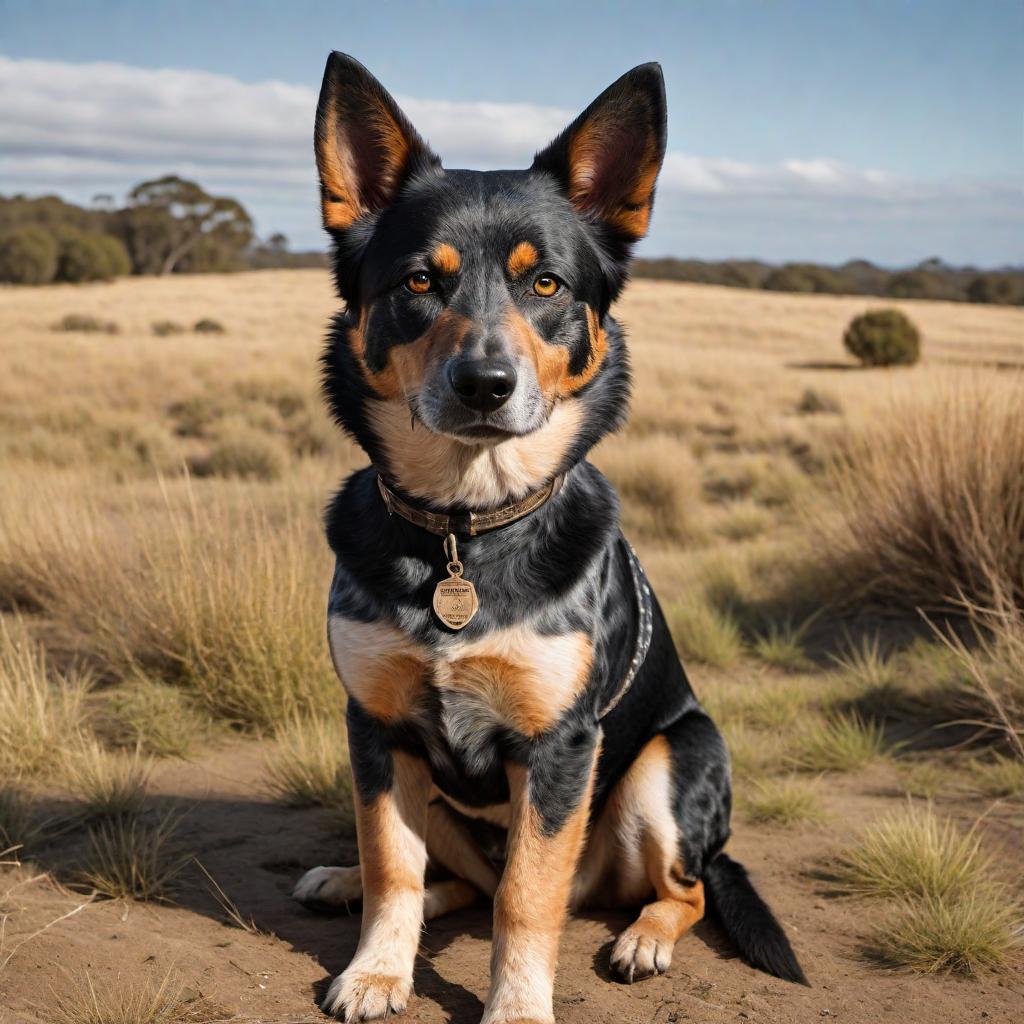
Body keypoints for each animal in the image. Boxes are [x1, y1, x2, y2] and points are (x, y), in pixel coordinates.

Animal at [294, 54, 806, 1024]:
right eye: (419, 283)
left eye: (547, 286)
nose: (485, 384)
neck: (463, 533)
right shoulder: (377, 728)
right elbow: (392, 866)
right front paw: (377, 969)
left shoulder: (560, 746)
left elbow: (527, 899)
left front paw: (519, 1006)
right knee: (452, 879)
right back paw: (342, 881)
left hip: (665, 766)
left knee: (678, 888)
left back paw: (645, 936)